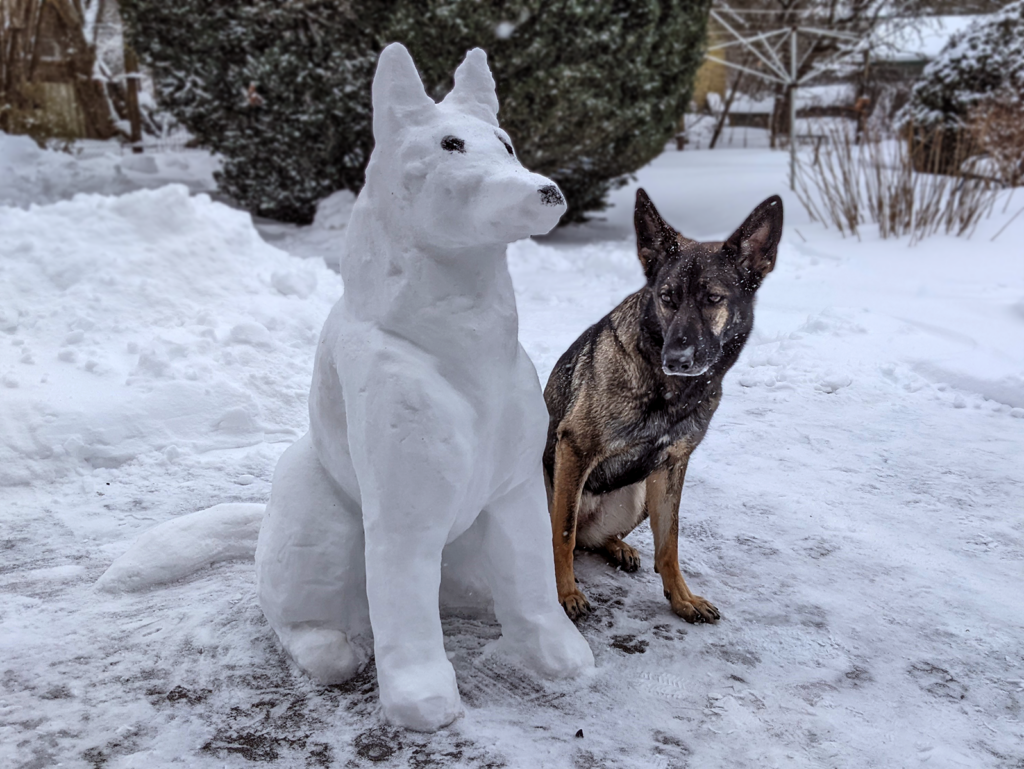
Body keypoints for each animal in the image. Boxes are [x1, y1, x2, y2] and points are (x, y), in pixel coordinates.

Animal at [544, 189, 782, 622]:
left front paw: (682, 598)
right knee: (567, 532)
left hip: (638, 493)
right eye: (667, 297)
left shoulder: (671, 465)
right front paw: (564, 594)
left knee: (594, 539)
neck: (669, 389)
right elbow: (562, 534)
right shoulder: (574, 448)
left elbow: (669, 542)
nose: (677, 358)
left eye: (713, 298)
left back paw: (619, 547)